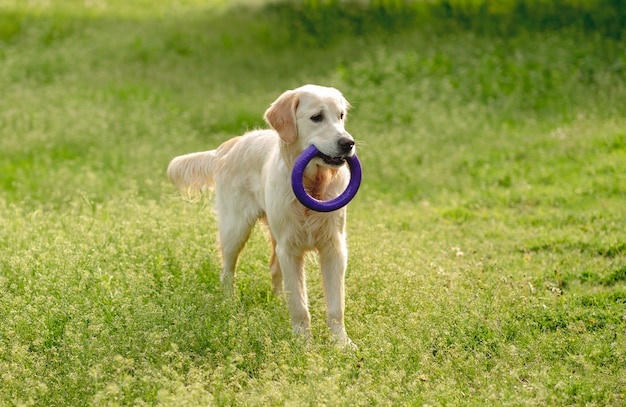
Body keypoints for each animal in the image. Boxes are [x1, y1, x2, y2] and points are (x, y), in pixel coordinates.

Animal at [168, 85, 356, 348]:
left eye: (340, 116)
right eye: (317, 117)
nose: (348, 143)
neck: (312, 185)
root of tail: (232, 145)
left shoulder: (334, 247)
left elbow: (336, 305)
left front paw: (341, 343)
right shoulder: (290, 248)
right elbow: (299, 305)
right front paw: (303, 343)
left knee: (274, 268)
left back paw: (276, 305)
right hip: (235, 229)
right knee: (227, 270)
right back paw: (228, 303)